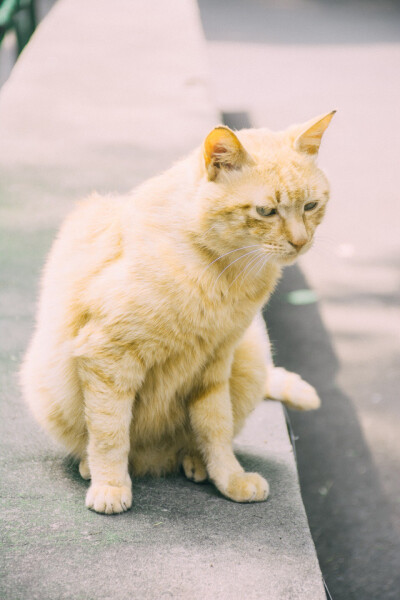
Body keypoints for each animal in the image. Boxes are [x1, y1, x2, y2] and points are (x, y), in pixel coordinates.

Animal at [21, 112, 334, 516]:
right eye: (266, 211)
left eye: (310, 206)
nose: (300, 242)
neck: (224, 273)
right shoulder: (107, 359)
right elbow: (110, 433)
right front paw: (110, 485)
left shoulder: (216, 364)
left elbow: (216, 428)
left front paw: (228, 478)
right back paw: (92, 467)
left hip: (251, 357)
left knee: (198, 438)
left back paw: (196, 463)